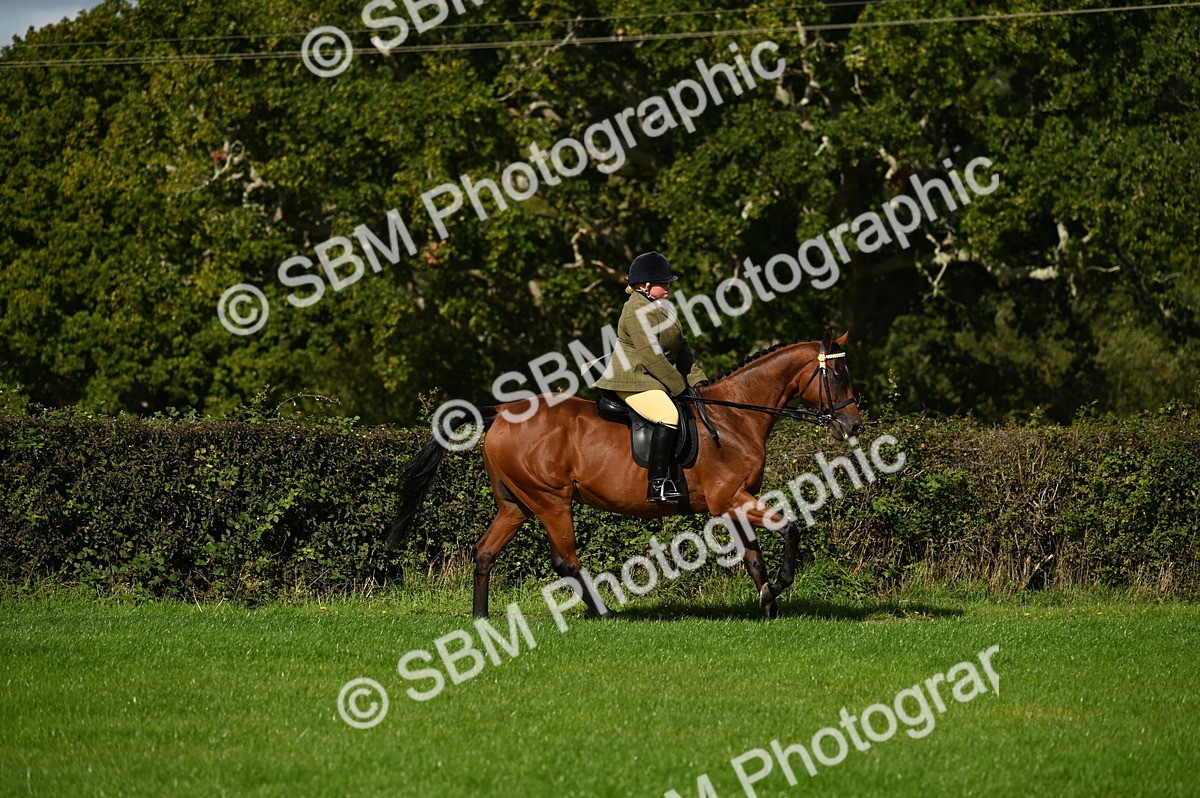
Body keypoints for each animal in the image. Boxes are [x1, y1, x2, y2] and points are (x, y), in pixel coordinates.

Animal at [389, 328, 865, 619]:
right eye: (838, 375)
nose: (854, 427)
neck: (735, 417)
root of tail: (504, 412)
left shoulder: (737, 502)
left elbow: (753, 556)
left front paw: (767, 602)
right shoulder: (729, 499)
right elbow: (790, 528)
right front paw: (779, 587)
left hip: (516, 504)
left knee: (485, 552)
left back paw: (481, 617)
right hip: (550, 500)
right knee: (565, 559)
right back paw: (603, 612)